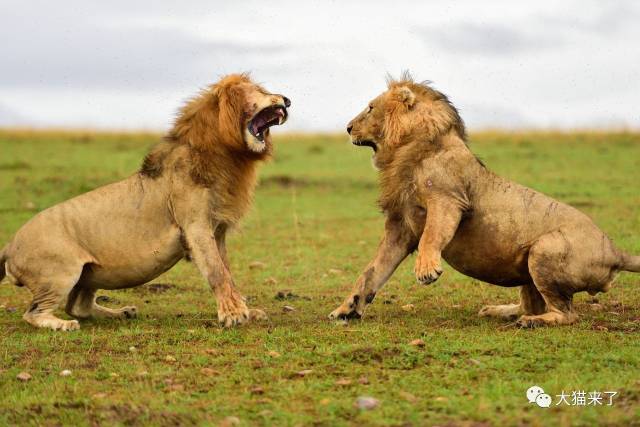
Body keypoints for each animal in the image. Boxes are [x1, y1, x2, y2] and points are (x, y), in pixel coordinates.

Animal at [0, 73, 290, 332]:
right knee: (34, 313)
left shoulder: (217, 230)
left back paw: (123, 312)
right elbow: (217, 272)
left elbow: (228, 271)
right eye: (262, 91)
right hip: (61, 272)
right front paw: (233, 315)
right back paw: (63, 325)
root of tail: (9, 245)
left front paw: (246, 310)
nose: (287, 100)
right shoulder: (195, 226)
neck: (227, 156)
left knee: (78, 306)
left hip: (91, 273)